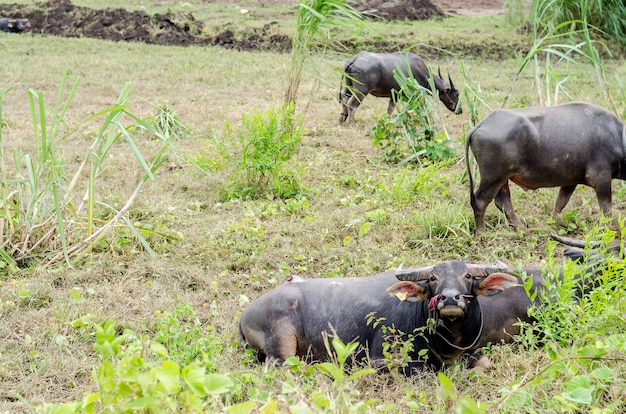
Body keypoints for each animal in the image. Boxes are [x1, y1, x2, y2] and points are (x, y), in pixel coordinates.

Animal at [236, 262, 516, 376]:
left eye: (467, 276)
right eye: (433, 278)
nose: (449, 298)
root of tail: (245, 314)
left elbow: (485, 363)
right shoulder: (381, 358)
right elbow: (425, 371)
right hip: (282, 344)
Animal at [464, 101, 624, 233]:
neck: (618, 138)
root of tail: (482, 124)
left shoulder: (571, 181)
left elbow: (561, 202)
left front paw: (552, 222)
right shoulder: (601, 179)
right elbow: (606, 208)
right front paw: (611, 228)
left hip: (502, 179)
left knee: (503, 202)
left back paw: (522, 229)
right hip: (493, 177)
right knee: (480, 201)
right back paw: (481, 232)